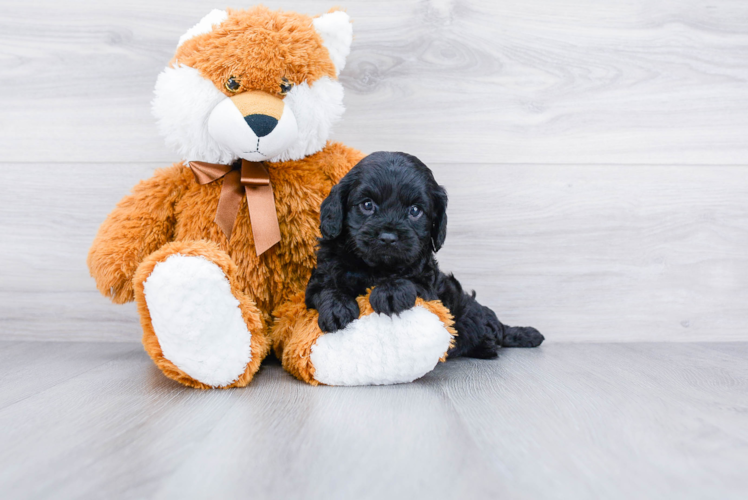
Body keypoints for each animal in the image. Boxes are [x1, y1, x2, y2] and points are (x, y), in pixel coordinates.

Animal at [304, 150, 544, 358]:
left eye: (415, 210)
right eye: (367, 205)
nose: (388, 237)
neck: (376, 268)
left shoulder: (429, 286)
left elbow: (412, 281)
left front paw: (390, 292)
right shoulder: (319, 279)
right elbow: (326, 288)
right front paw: (337, 309)